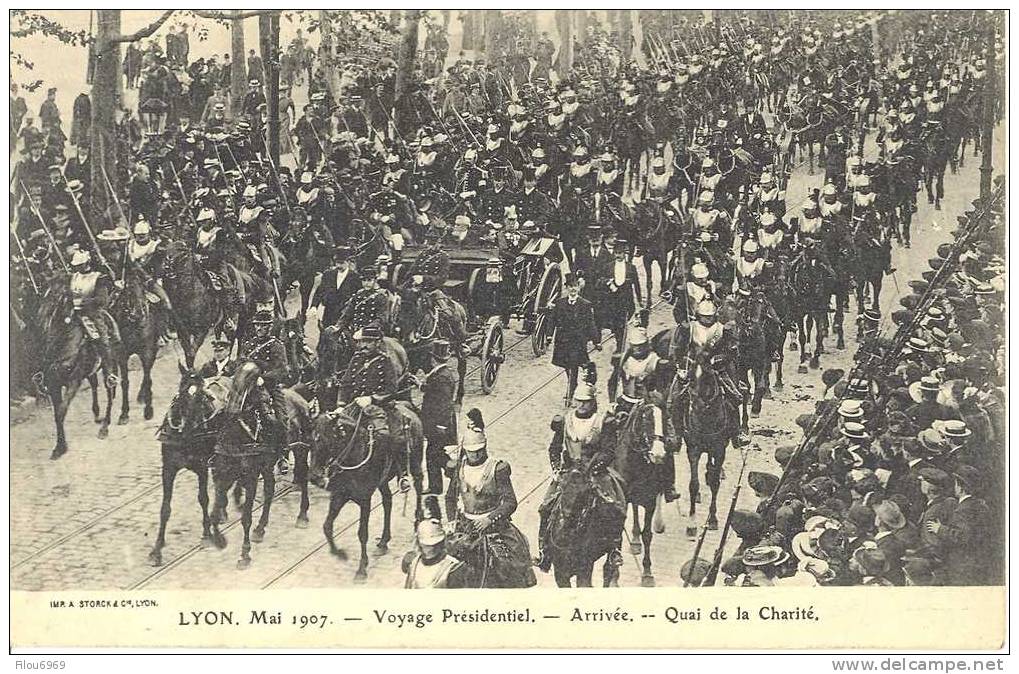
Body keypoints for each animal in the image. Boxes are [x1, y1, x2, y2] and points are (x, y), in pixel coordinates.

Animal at [109, 269, 161, 424]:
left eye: (144, 288)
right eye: (129, 290)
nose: (138, 313)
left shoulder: (147, 351)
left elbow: (148, 377)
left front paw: (149, 410)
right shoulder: (121, 354)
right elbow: (125, 382)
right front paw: (124, 413)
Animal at [147, 365, 231, 566]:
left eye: (202, 395)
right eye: (182, 391)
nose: (188, 425)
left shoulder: (202, 467)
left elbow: (203, 498)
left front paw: (207, 534)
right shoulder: (168, 469)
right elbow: (165, 508)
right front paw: (157, 550)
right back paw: (222, 511)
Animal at [208, 360, 311, 566]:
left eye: (255, 384)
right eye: (236, 380)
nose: (233, 410)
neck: (237, 437)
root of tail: (297, 395)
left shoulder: (251, 478)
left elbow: (246, 517)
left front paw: (244, 554)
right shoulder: (223, 476)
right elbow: (215, 511)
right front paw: (219, 539)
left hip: (301, 449)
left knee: (303, 476)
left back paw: (302, 515)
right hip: (267, 466)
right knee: (270, 490)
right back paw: (260, 528)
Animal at [307, 397, 423, 579]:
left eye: (327, 441)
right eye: (310, 442)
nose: (314, 477)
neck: (353, 454)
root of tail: (406, 406)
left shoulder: (364, 500)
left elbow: (362, 533)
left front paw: (361, 569)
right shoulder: (339, 495)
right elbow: (327, 526)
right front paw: (339, 553)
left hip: (416, 462)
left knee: (419, 486)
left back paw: (418, 522)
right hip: (382, 482)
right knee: (387, 501)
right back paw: (383, 542)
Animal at [607, 399, 672, 583]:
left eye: (665, 419)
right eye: (646, 420)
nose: (658, 454)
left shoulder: (649, 501)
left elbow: (647, 535)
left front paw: (647, 573)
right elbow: (618, 535)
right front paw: (615, 575)